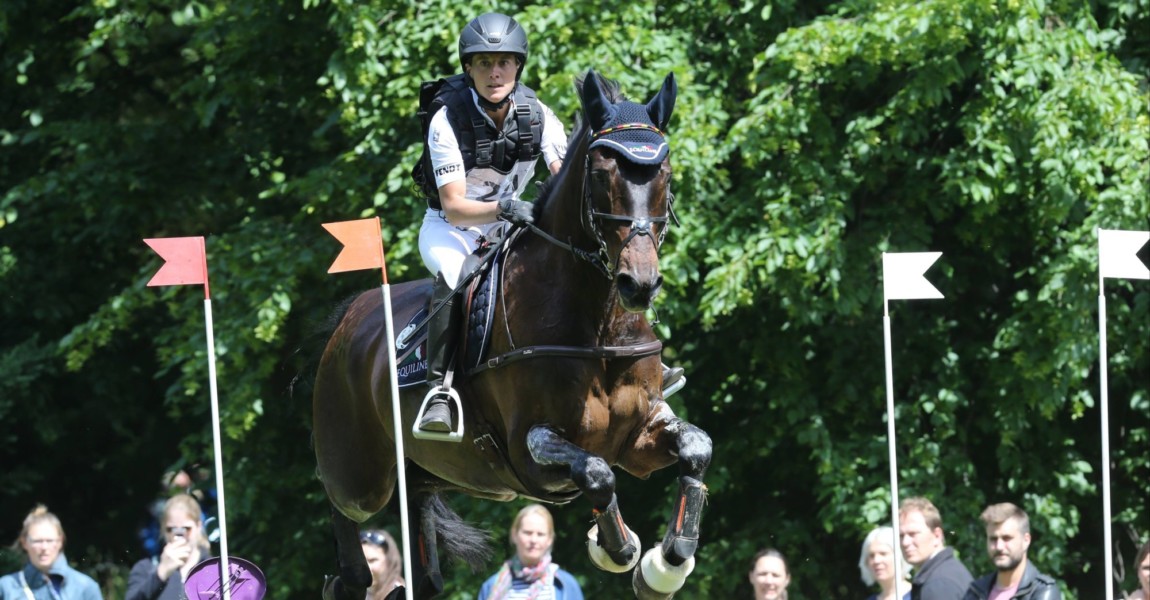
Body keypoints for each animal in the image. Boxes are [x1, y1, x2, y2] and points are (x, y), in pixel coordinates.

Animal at [312, 70, 708, 597]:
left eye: (663, 174)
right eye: (601, 174)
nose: (638, 284)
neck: (597, 322)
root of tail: (350, 320)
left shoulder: (640, 433)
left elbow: (696, 448)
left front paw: (666, 564)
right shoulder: (530, 447)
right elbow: (597, 472)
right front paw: (616, 550)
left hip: (426, 475)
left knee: (422, 560)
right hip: (361, 474)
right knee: (341, 503)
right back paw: (349, 580)